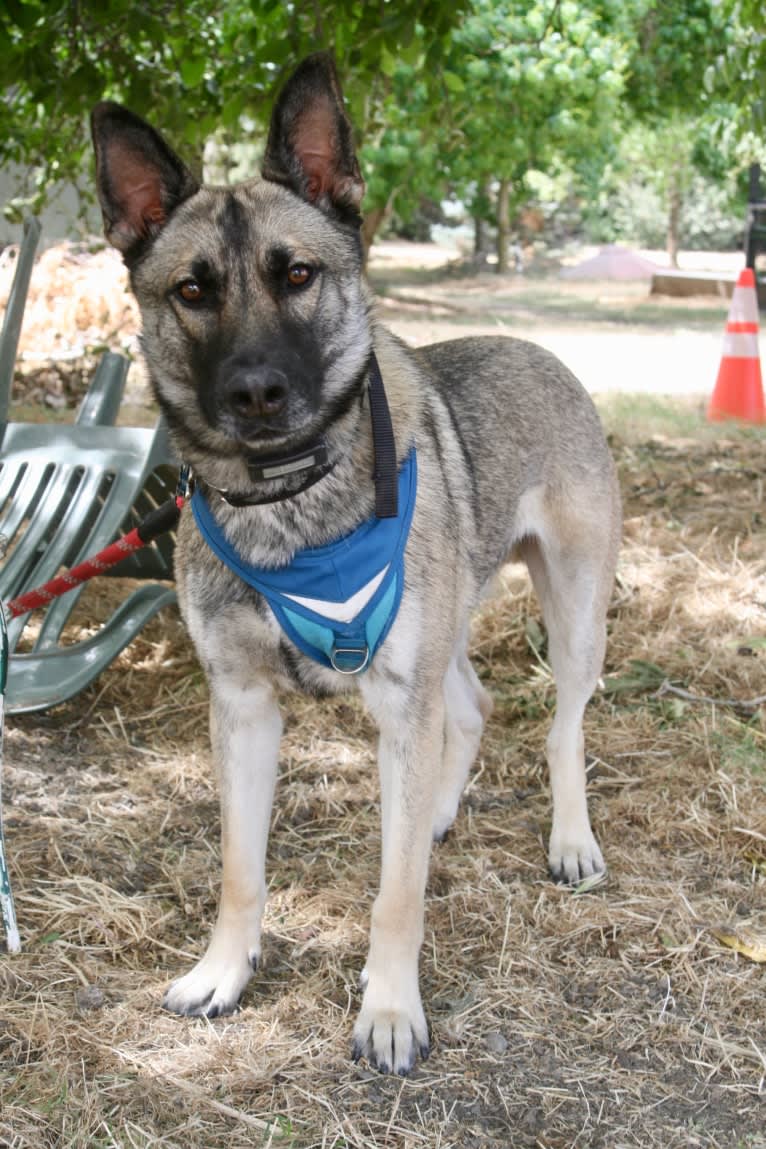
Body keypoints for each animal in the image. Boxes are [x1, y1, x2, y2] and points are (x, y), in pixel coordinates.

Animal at [93, 51, 624, 1075]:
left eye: (297, 274)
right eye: (192, 290)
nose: (256, 393)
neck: (291, 504)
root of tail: (540, 351)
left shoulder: (396, 701)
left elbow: (396, 891)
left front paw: (388, 1009)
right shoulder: (244, 706)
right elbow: (240, 868)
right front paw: (224, 971)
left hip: (574, 612)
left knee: (562, 726)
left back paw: (570, 838)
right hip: (443, 636)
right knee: (471, 707)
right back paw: (442, 811)